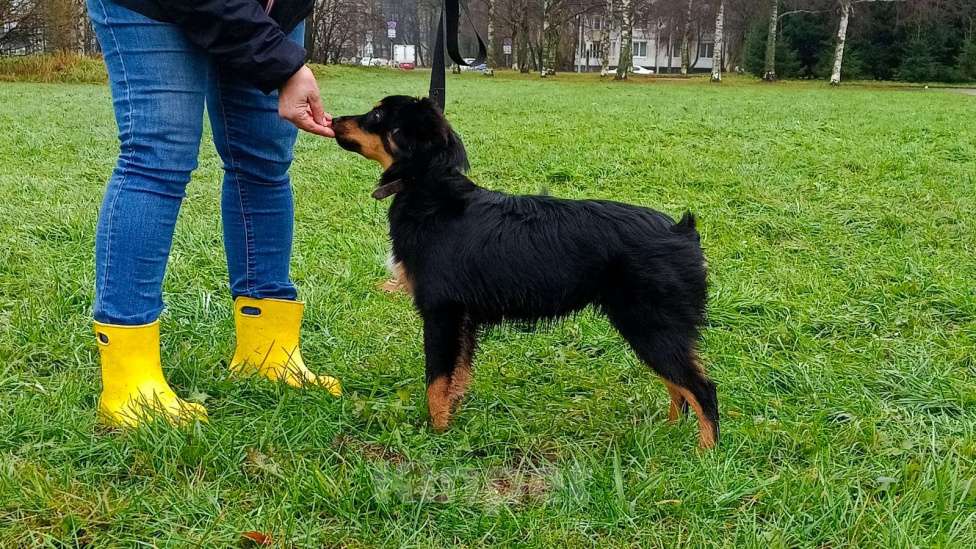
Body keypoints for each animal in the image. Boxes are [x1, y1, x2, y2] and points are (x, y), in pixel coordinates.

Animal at [332, 96, 720, 448]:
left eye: (377, 115)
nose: (333, 119)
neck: (429, 190)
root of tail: (682, 231)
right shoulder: (463, 319)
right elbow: (457, 376)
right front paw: (452, 424)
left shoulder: (442, 314)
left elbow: (436, 380)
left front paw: (437, 435)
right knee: (680, 387)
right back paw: (667, 434)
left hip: (650, 326)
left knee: (702, 389)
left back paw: (705, 454)